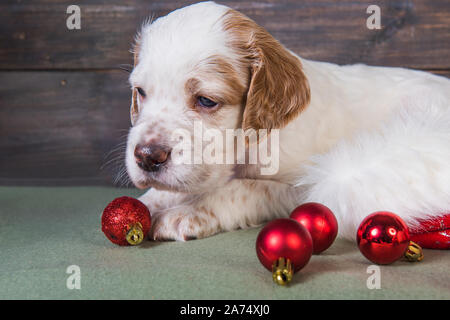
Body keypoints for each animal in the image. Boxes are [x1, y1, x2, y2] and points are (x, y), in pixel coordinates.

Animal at [125, 1, 450, 240]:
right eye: (141, 92)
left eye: (206, 100)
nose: (147, 157)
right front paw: (146, 204)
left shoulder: (309, 186)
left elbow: (243, 188)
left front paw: (187, 213)